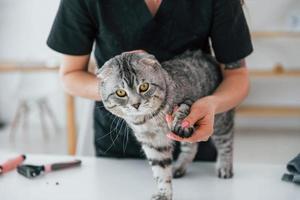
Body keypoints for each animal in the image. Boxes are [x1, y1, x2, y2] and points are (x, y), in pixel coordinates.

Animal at [96, 48, 234, 200]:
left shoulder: (189, 100)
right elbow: (160, 170)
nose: (136, 104)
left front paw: (180, 123)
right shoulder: (153, 143)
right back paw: (179, 167)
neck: (149, 119)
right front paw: (164, 193)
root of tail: (206, 55)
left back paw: (225, 167)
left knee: (226, 142)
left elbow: (183, 110)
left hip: (221, 121)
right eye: (120, 93)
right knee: (191, 148)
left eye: (144, 87)